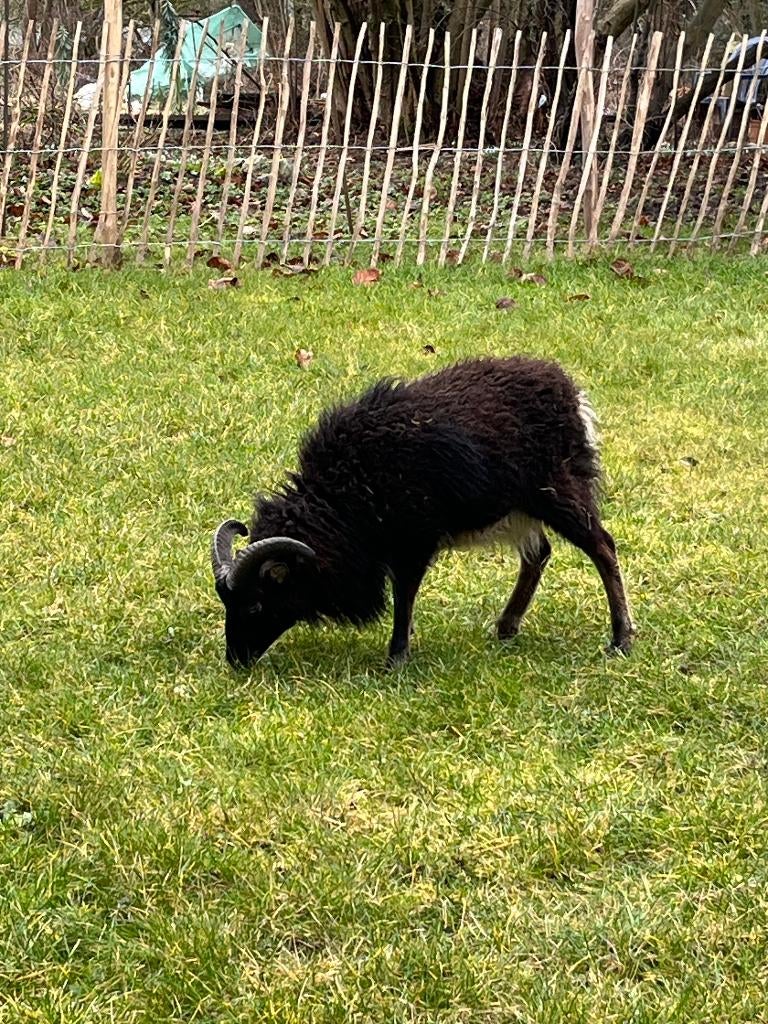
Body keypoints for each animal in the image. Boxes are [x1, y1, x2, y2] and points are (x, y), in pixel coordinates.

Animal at [211, 356, 634, 668]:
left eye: (256, 602)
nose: (236, 661)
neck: (343, 495)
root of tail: (572, 394)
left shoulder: (413, 540)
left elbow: (405, 595)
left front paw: (396, 658)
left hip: (558, 491)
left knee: (602, 547)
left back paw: (621, 639)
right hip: (518, 508)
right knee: (538, 554)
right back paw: (506, 626)